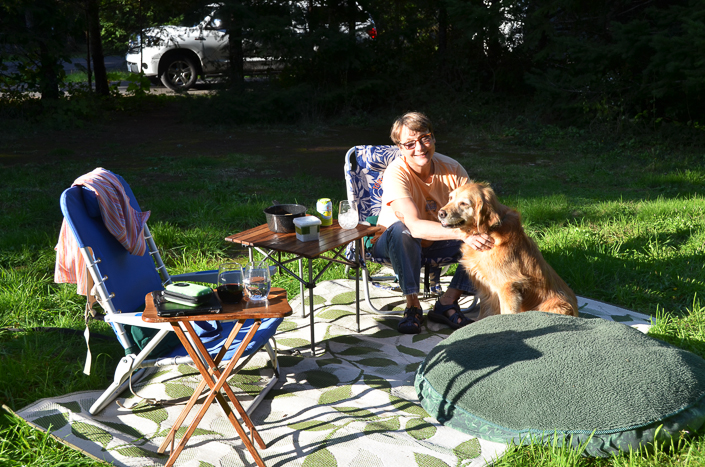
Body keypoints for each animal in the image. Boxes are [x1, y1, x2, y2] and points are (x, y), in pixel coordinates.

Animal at [438, 182, 578, 320]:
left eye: (464, 203)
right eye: (450, 198)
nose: (441, 213)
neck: (490, 230)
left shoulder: (507, 286)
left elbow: (506, 314)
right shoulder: (486, 291)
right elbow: (484, 315)